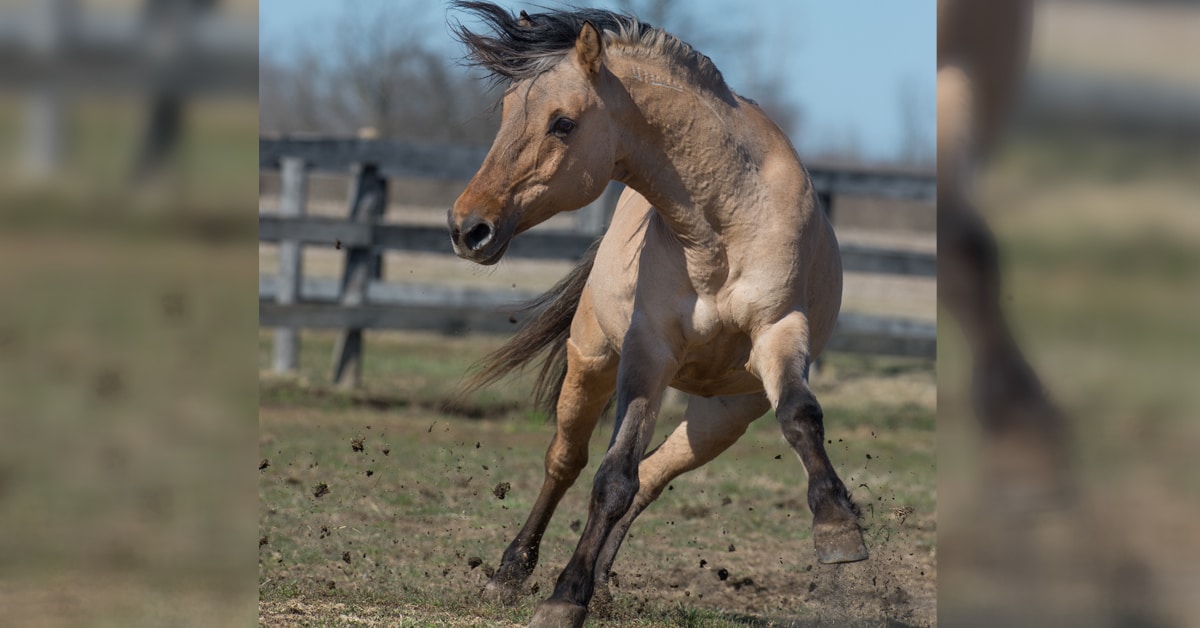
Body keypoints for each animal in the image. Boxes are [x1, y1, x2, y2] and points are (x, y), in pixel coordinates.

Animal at [448, 3, 864, 624]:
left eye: (562, 123)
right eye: (504, 113)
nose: (468, 227)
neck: (721, 225)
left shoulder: (779, 330)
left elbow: (800, 415)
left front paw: (839, 527)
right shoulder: (647, 353)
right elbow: (609, 477)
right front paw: (564, 598)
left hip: (722, 415)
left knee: (650, 476)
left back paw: (598, 579)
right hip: (591, 361)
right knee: (566, 462)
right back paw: (510, 573)